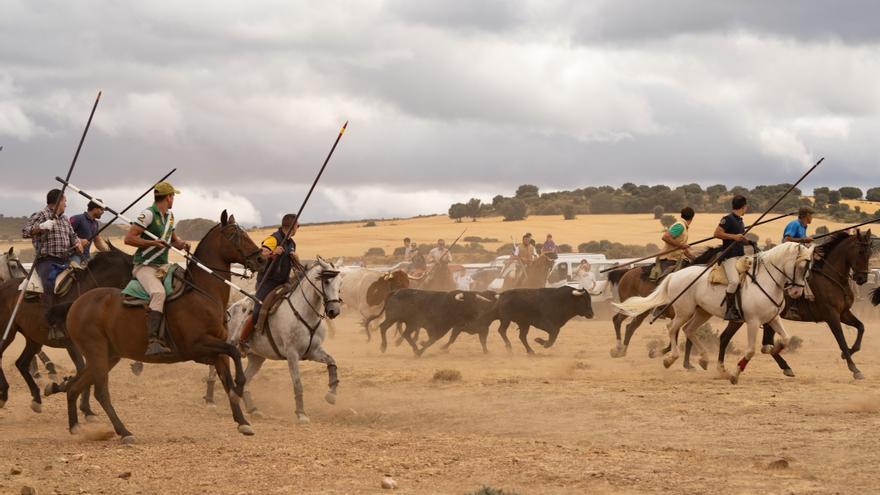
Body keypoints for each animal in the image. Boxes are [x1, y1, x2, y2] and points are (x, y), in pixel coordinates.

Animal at [0, 248, 134, 414]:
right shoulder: (72, 346)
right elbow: (82, 370)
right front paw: (83, 405)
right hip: (7, 331)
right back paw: (4, 394)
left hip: (33, 339)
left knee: (21, 363)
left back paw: (36, 399)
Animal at [58, 211, 266, 444]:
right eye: (232, 234)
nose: (261, 259)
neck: (203, 294)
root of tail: (76, 304)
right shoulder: (197, 346)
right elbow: (233, 354)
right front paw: (240, 384)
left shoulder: (214, 351)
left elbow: (227, 376)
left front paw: (242, 422)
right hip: (97, 352)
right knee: (100, 392)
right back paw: (124, 432)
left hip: (108, 356)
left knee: (74, 387)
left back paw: (76, 428)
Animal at [222, 258, 342, 424]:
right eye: (327, 281)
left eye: (340, 283)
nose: (334, 311)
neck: (303, 311)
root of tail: (229, 310)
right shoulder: (292, 354)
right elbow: (297, 384)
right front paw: (301, 414)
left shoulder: (313, 351)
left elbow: (332, 362)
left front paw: (332, 395)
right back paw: (211, 401)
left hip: (256, 358)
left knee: (245, 380)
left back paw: (252, 409)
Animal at [616, 242, 816, 386]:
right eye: (800, 266)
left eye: (809, 268)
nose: (797, 292)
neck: (766, 281)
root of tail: (674, 275)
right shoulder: (752, 321)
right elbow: (750, 350)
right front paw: (735, 374)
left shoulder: (772, 318)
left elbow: (786, 339)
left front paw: (771, 350)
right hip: (684, 311)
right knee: (671, 328)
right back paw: (669, 358)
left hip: (702, 312)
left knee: (688, 330)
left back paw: (704, 359)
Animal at [716, 231, 880, 382]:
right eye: (860, 252)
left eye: (869, 252)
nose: (862, 278)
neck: (831, 278)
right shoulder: (831, 316)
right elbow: (842, 341)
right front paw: (854, 369)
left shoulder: (844, 313)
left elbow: (861, 327)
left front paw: (849, 354)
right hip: (744, 318)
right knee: (728, 338)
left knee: (759, 342)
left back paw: (784, 367)